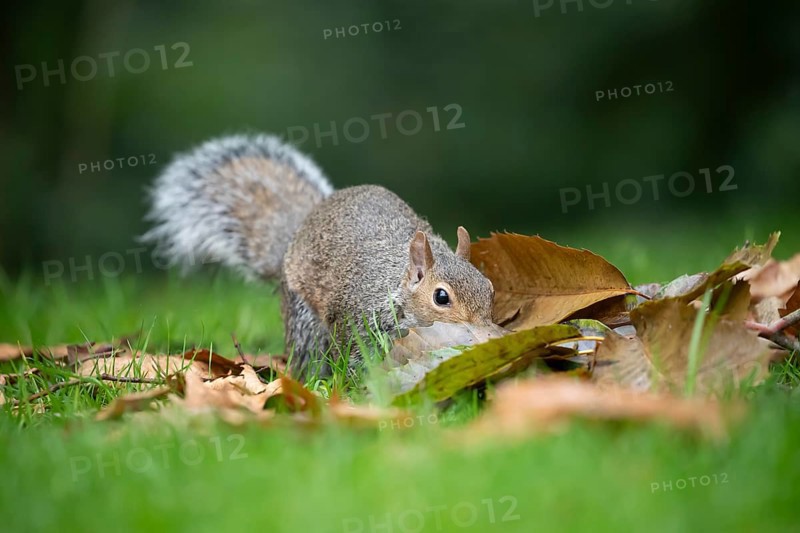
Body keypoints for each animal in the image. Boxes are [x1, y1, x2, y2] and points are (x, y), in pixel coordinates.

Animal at [142, 134, 495, 377]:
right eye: (441, 297)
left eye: (490, 287)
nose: (488, 335)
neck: (395, 286)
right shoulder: (358, 322)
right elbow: (353, 360)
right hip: (305, 320)